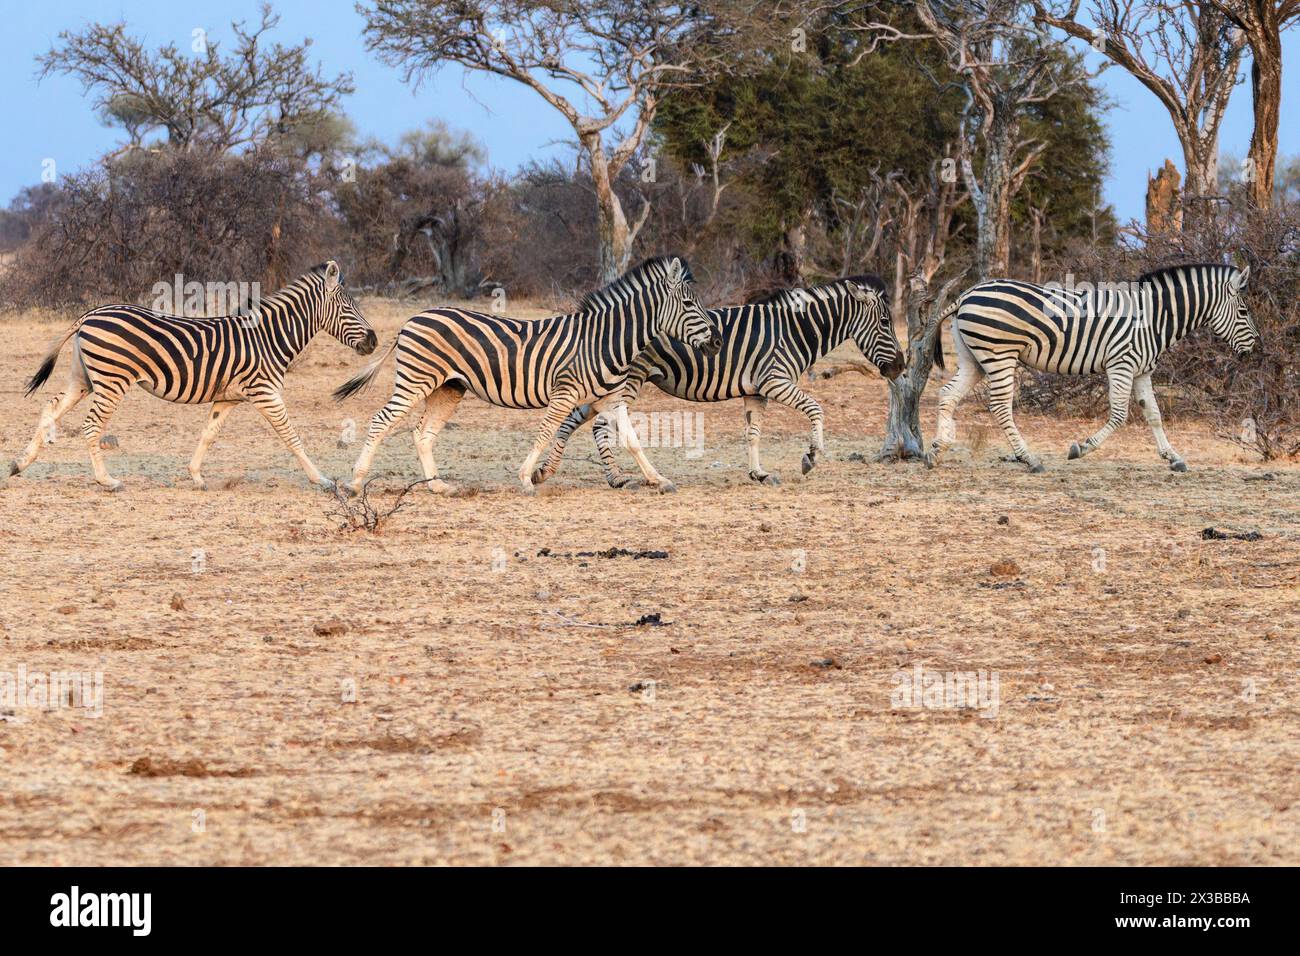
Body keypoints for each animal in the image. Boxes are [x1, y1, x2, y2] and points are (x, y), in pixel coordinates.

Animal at [10, 261, 377, 492]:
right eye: (348, 307)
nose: (373, 341)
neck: (267, 338)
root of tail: (89, 314)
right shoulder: (264, 392)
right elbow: (291, 436)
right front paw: (322, 480)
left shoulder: (228, 398)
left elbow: (208, 434)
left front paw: (196, 477)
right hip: (112, 381)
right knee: (90, 426)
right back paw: (108, 481)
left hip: (84, 379)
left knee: (51, 407)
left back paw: (19, 464)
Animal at [332, 255, 722, 495]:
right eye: (689, 304)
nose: (717, 342)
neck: (605, 340)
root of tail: (412, 318)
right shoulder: (565, 392)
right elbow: (546, 431)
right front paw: (526, 479)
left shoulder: (610, 399)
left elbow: (633, 439)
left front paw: (660, 480)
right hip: (416, 380)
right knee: (381, 421)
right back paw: (355, 482)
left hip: (448, 387)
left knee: (422, 434)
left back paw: (438, 485)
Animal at [532, 275, 905, 487]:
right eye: (886, 323)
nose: (901, 367)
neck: (796, 331)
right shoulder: (775, 381)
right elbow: (815, 408)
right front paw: (810, 457)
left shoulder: (757, 391)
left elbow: (753, 433)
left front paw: (758, 474)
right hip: (627, 381)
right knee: (598, 425)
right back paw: (618, 478)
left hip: (605, 382)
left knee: (574, 420)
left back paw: (550, 471)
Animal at [925, 263, 1261, 473]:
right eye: (1243, 312)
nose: (1256, 347)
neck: (1153, 318)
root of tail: (966, 294)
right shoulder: (1121, 364)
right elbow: (1120, 415)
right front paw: (1081, 448)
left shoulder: (1142, 370)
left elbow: (1153, 414)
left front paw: (1173, 458)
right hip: (999, 353)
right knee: (1000, 406)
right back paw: (1030, 459)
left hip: (974, 358)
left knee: (947, 394)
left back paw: (936, 451)